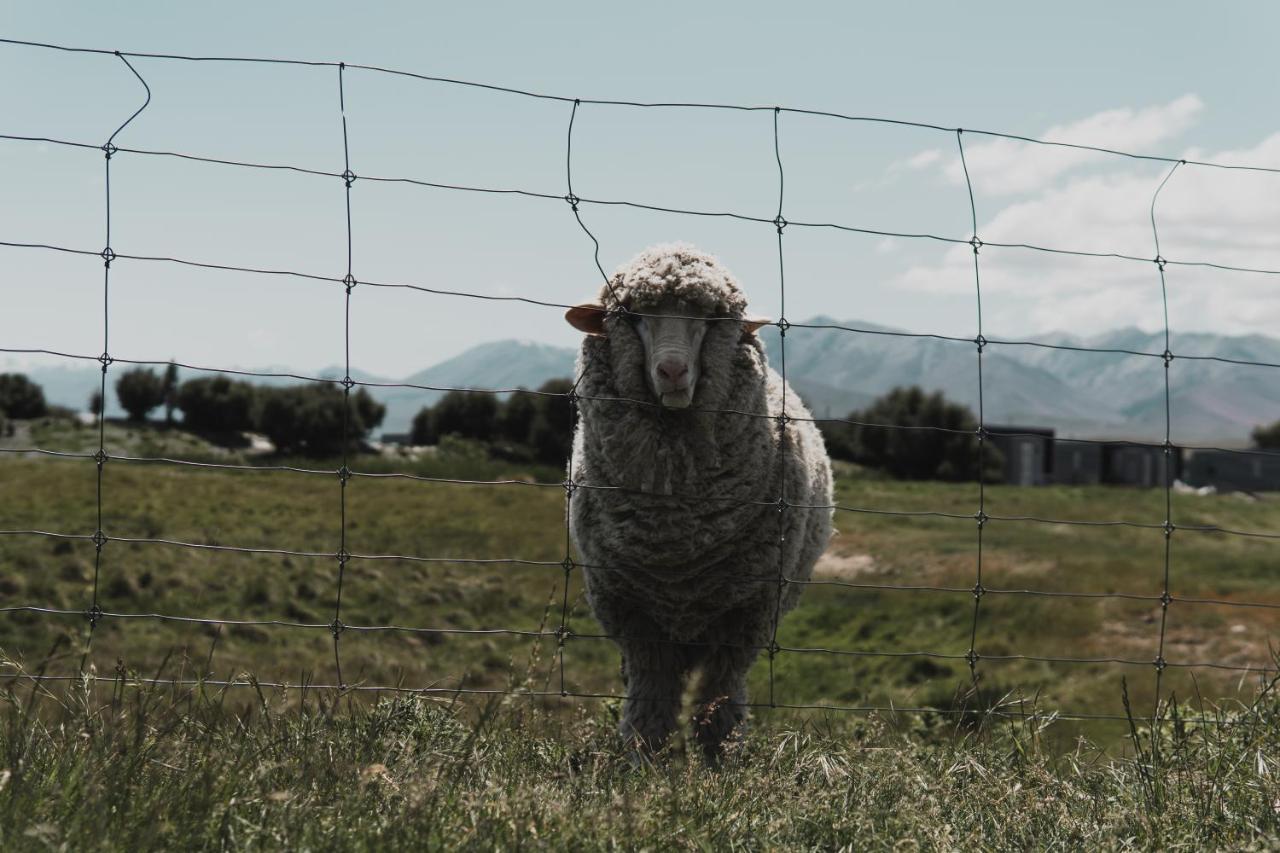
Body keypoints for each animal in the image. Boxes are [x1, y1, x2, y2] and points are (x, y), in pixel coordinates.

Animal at [565, 240, 834, 758]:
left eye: (709, 320)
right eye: (635, 317)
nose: (672, 371)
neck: (677, 533)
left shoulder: (746, 614)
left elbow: (719, 701)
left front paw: (718, 761)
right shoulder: (633, 615)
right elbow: (649, 704)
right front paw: (643, 763)